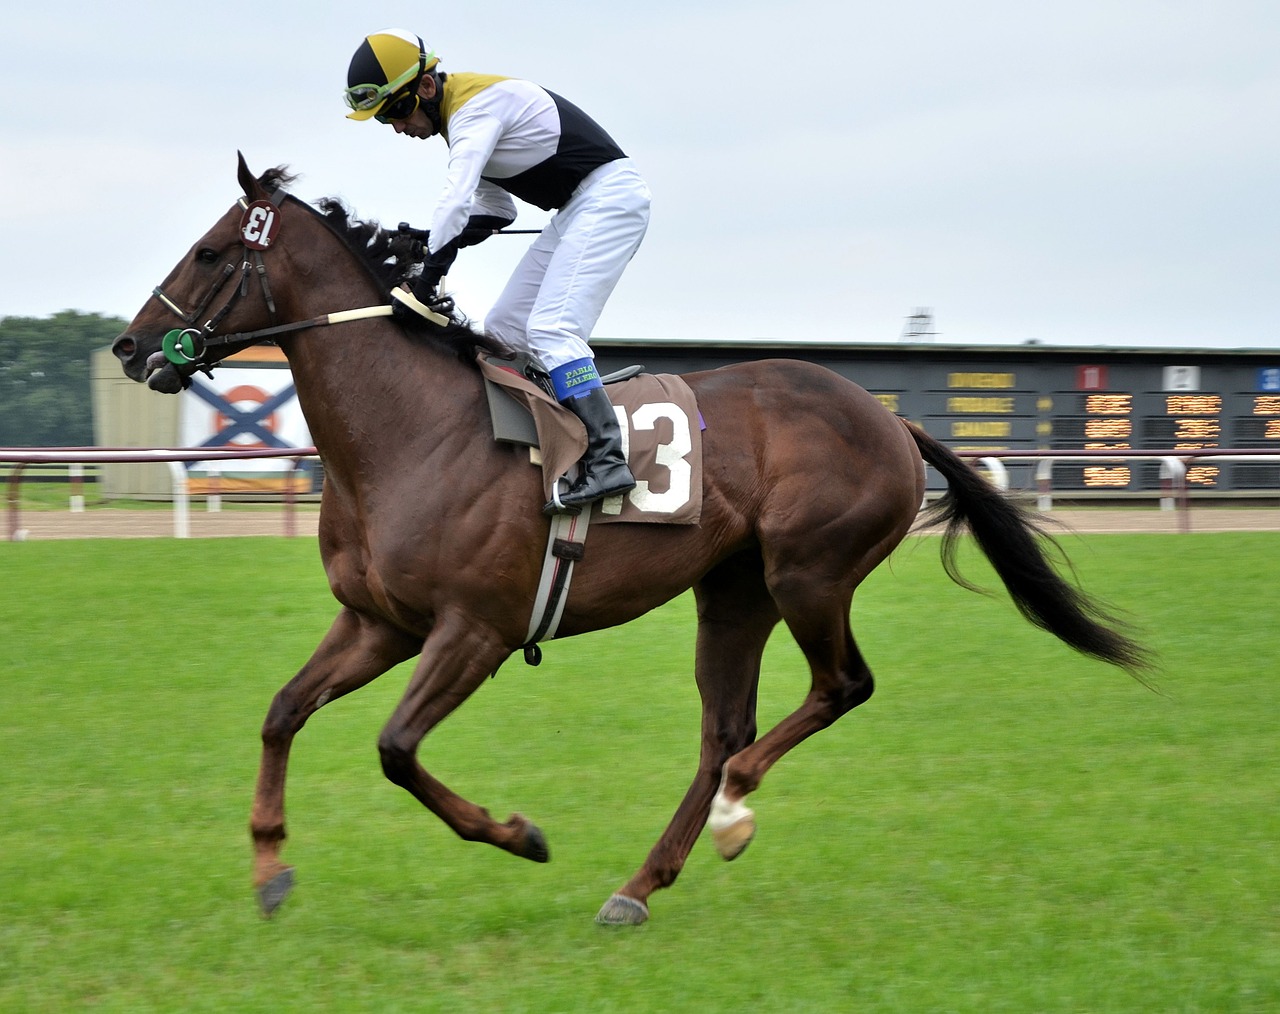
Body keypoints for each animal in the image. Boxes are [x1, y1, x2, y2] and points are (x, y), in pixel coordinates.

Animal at [112, 152, 1152, 926]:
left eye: (209, 253)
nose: (128, 348)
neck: (408, 431)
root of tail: (891, 418)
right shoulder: (380, 622)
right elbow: (282, 712)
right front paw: (270, 872)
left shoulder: (473, 631)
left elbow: (397, 749)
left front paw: (520, 834)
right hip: (734, 591)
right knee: (724, 728)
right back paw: (640, 884)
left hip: (810, 573)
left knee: (833, 690)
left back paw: (733, 812)